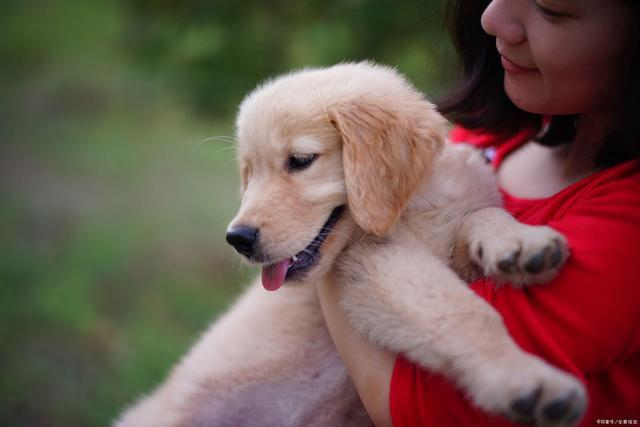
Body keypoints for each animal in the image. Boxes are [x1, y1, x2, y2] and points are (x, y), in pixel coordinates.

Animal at [117, 61, 588, 427]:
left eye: (300, 161)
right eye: (248, 173)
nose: (238, 239)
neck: (411, 204)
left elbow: (480, 216)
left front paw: (521, 243)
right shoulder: (372, 268)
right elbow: (459, 311)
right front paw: (525, 379)